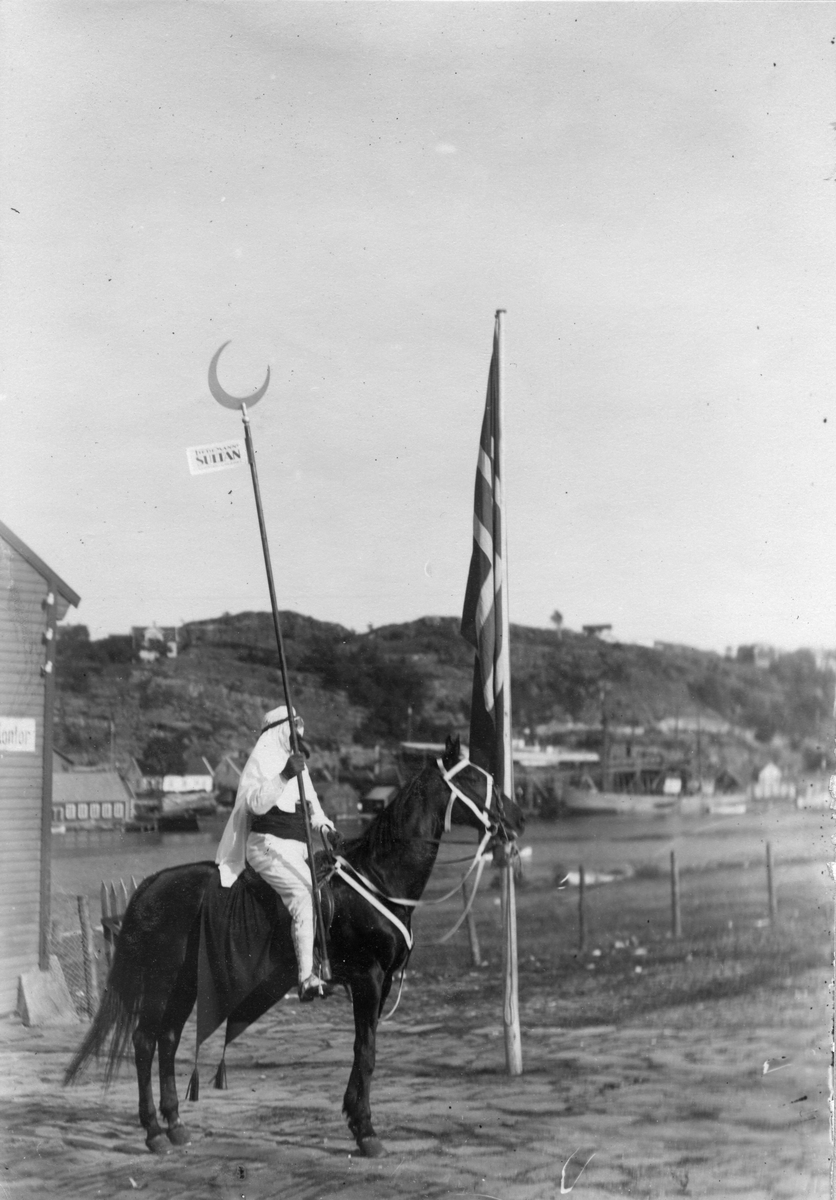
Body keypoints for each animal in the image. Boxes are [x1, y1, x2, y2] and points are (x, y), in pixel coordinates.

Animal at [65, 734, 522, 1156]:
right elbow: (366, 1052)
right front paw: (365, 1130)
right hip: (161, 982)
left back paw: (175, 1124)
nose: (515, 818)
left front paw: (356, 1119)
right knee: (145, 1041)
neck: (378, 876)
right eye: (473, 779)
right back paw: (153, 1133)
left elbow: (364, 1052)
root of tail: (152, 884)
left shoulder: (380, 984)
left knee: (169, 1039)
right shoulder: (368, 980)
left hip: (184, 985)